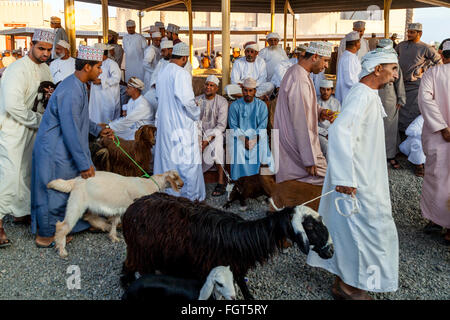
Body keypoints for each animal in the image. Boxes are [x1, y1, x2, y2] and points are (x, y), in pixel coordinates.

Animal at [121, 192, 332, 300]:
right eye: (310, 226)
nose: (331, 251)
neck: (244, 238)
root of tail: (131, 207)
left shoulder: (237, 268)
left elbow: (244, 288)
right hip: (139, 251)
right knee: (128, 268)